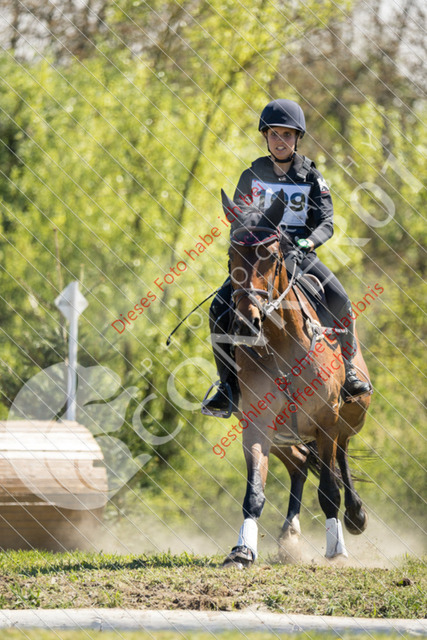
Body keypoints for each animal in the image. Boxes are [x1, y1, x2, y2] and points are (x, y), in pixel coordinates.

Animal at [219, 190, 372, 567]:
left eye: (271, 256)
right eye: (231, 254)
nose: (246, 324)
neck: (281, 342)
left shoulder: (327, 420)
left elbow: (329, 489)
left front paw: (337, 549)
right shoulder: (257, 422)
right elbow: (254, 492)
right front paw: (242, 551)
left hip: (349, 415)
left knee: (341, 454)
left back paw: (356, 516)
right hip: (284, 436)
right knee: (300, 465)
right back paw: (289, 536)